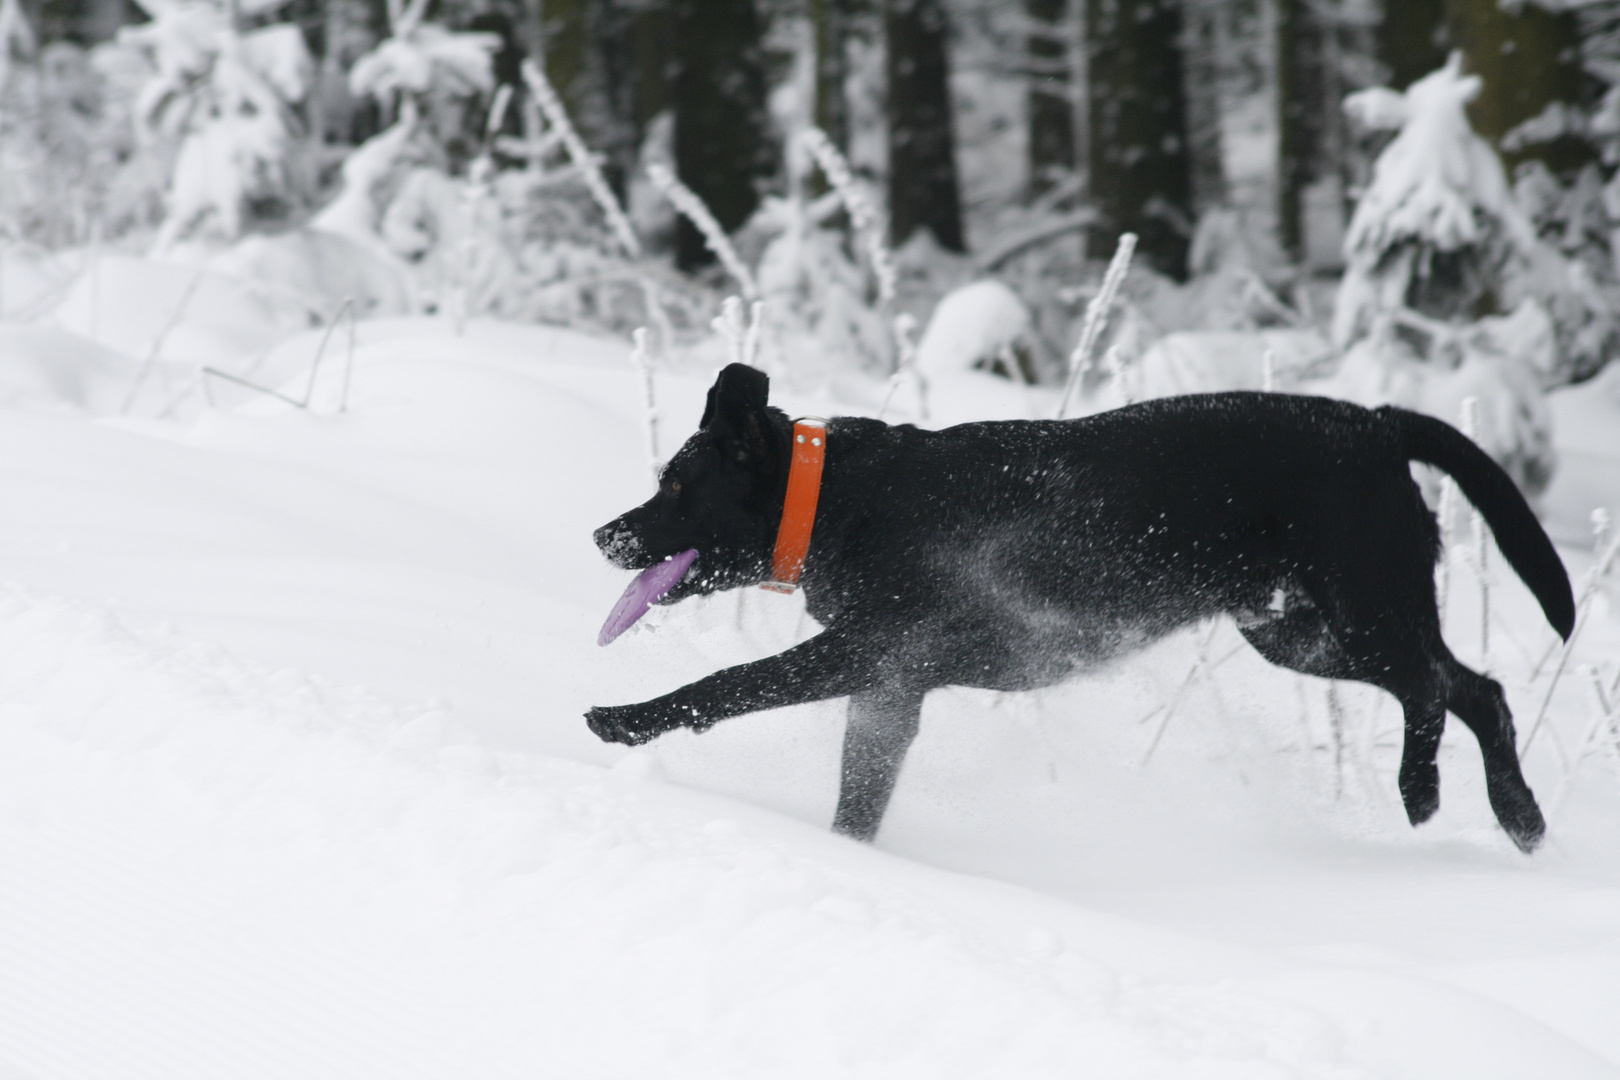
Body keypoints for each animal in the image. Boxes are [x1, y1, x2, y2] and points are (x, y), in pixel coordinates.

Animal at [589, 365, 1574, 854]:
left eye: (675, 487)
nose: (604, 533)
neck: (841, 499)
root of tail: (1376, 423)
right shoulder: (890, 690)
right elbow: (858, 797)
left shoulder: (870, 651)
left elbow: (729, 683)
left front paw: (624, 719)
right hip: (1294, 632)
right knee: (1468, 688)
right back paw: (1506, 815)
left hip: (1362, 609)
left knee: (1445, 689)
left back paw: (1441, 793)